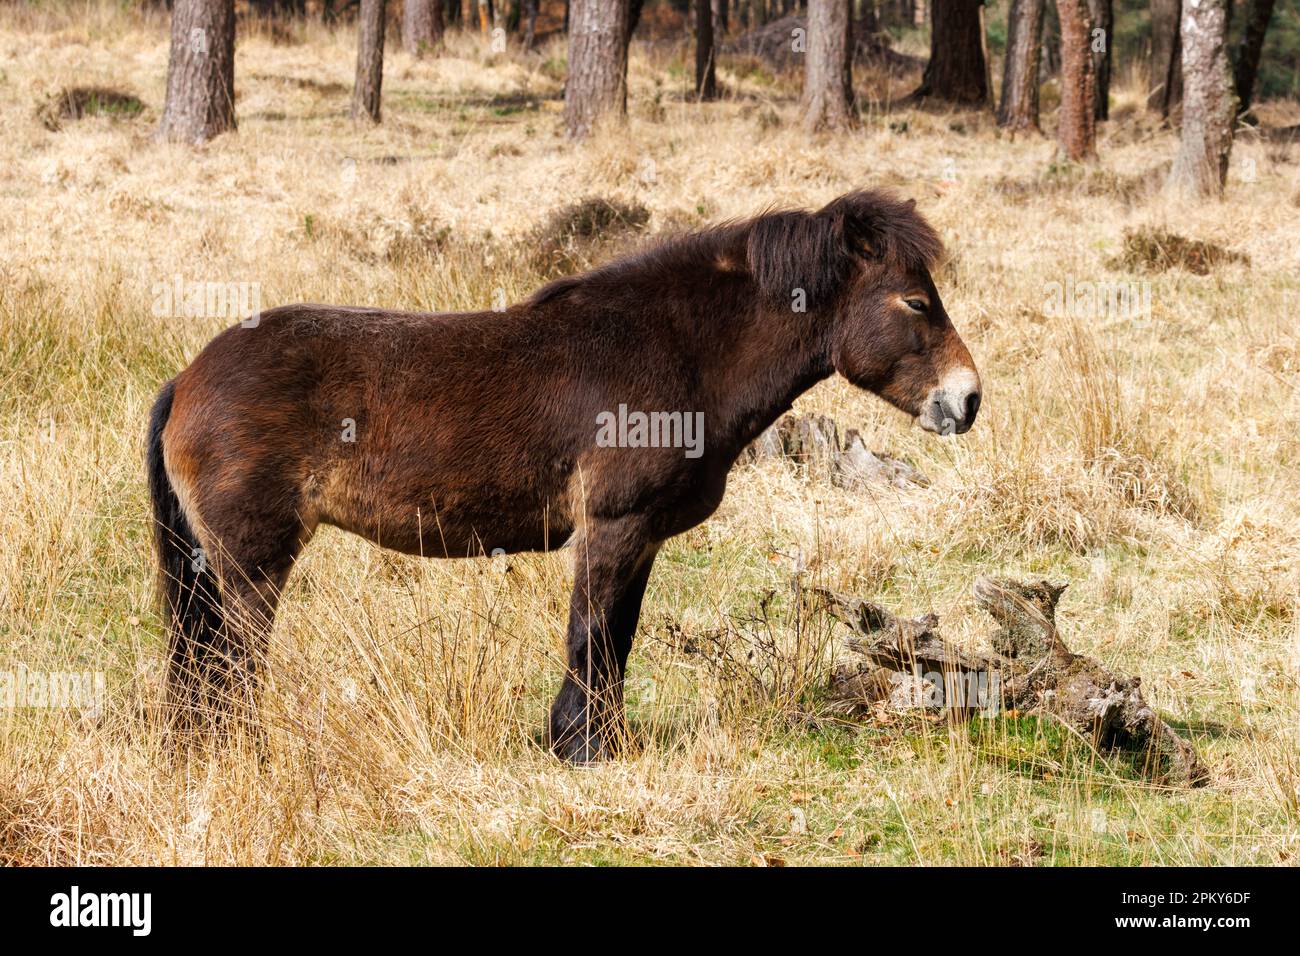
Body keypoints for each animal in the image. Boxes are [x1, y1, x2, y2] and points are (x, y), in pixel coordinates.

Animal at [146, 188, 981, 762]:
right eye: (916, 300)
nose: (966, 399)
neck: (672, 350)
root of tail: (188, 379)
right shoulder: (611, 530)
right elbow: (591, 638)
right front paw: (581, 747)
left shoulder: (642, 541)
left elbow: (617, 641)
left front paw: (596, 741)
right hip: (252, 563)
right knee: (232, 662)